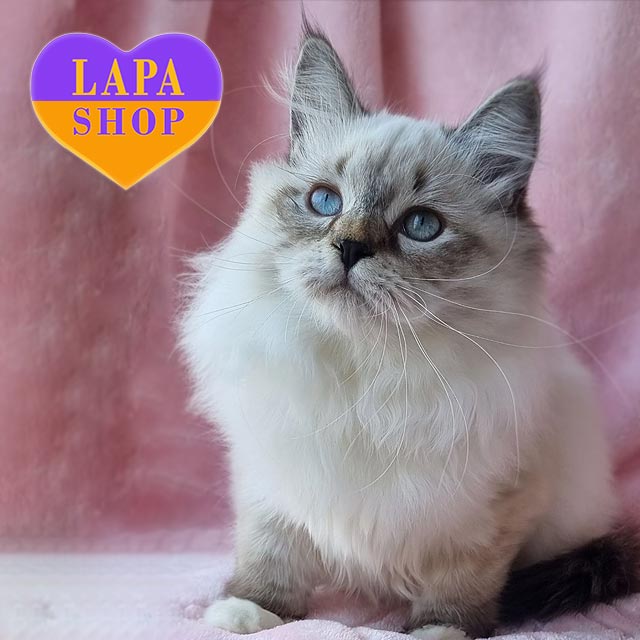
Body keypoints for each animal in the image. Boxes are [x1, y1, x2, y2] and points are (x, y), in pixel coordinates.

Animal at [179, 25, 639, 640]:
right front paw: (250, 611)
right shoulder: (272, 474)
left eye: (421, 226)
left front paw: (439, 630)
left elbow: (461, 584)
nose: (350, 247)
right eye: (325, 201)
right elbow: (271, 554)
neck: (365, 373)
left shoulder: (493, 505)